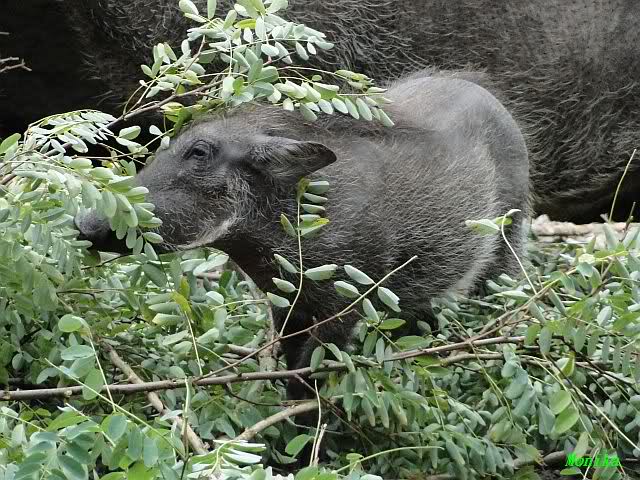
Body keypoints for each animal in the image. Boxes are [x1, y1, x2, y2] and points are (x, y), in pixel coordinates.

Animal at [76, 71, 530, 385]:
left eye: (199, 153)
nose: (83, 222)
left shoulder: (344, 305)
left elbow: (307, 377)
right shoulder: (286, 305)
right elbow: (289, 365)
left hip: (509, 241)